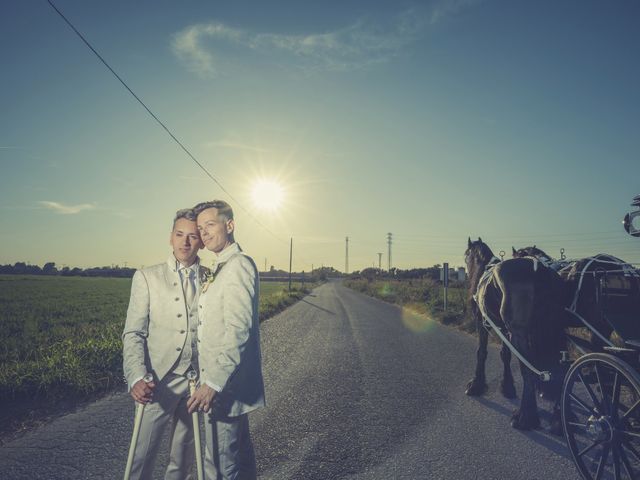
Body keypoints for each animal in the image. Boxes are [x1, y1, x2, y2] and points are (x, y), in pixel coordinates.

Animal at [464, 238, 564, 430]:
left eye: (467, 255)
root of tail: (538, 269)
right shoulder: (503, 329)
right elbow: (505, 354)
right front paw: (507, 386)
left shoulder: (482, 322)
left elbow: (481, 352)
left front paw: (476, 385)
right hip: (553, 331)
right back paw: (559, 419)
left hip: (520, 335)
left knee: (528, 370)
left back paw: (525, 416)